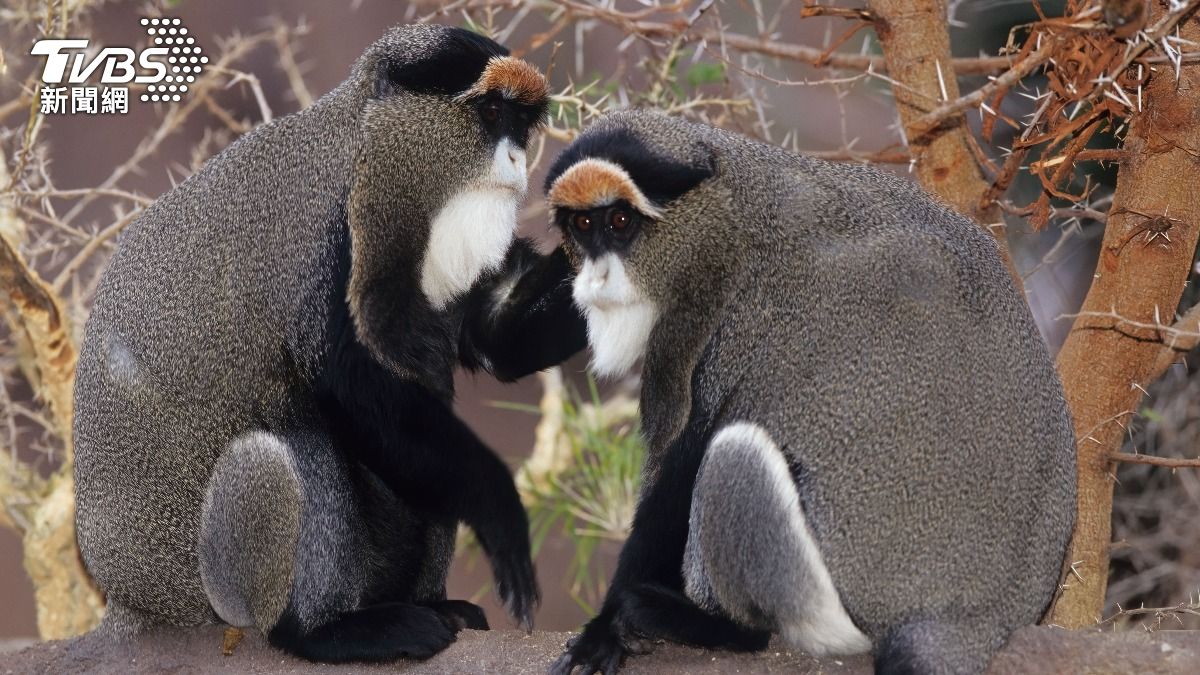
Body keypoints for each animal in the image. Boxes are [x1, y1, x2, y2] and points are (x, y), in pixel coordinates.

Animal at [70, 23, 585, 658]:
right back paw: (322, 631)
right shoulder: (326, 240)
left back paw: (428, 605)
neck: (369, 158)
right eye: (490, 112)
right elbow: (353, 388)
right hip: (202, 581)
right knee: (288, 442)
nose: (516, 159)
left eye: (520, 120)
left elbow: (495, 339)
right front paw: (500, 509)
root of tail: (129, 599)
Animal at [544, 110, 1080, 672]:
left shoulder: (728, 324)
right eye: (583, 226)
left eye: (620, 223)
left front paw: (604, 629)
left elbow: (681, 468)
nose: (594, 280)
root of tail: (969, 624)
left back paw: (719, 628)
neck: (739, 213)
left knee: (734, 455)